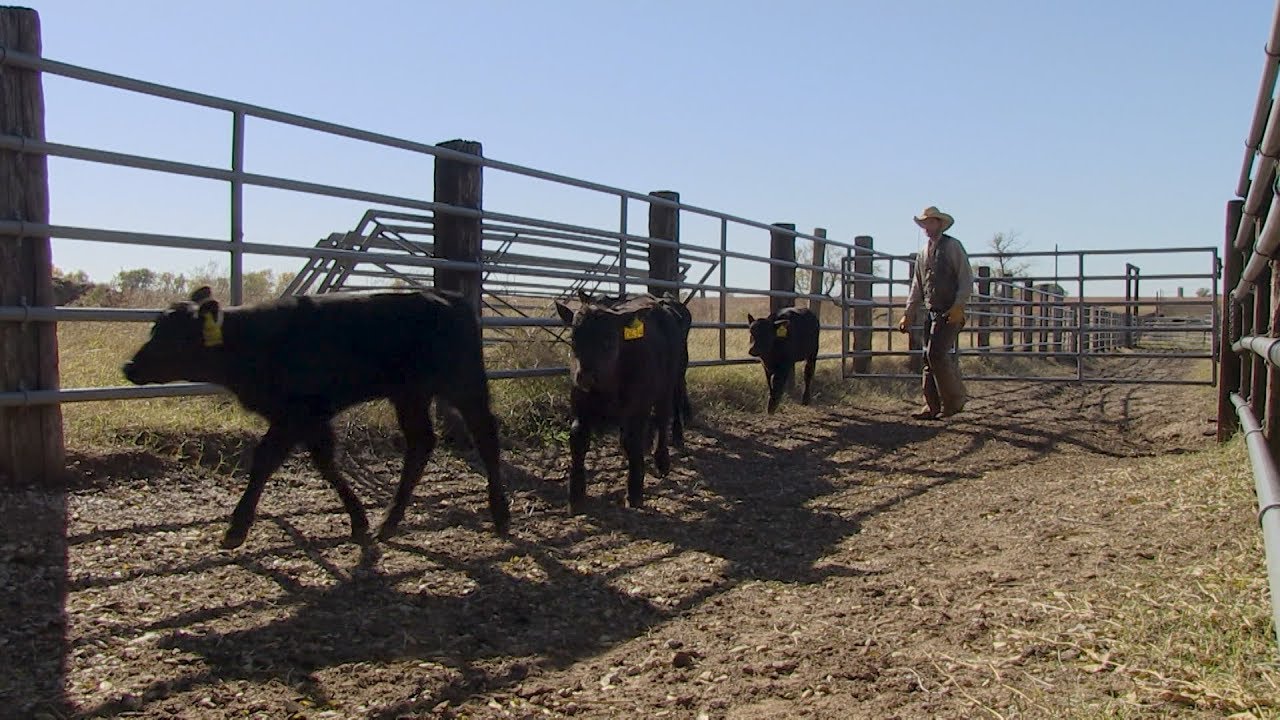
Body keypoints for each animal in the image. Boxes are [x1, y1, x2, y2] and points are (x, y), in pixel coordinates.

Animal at [122, 286, 510, 549]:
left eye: (175, 337)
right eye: (154, 329)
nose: (129, 366)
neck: (256, 340)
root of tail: (450, 298)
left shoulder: (295, 413)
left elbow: (265, 460)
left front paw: (236, 528)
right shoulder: (309, 418)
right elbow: (325, 462)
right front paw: (358, 519)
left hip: (463, 383)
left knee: (485, 435)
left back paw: (500, 514)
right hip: (409, 394)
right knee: (421, 443)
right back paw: (390, 520)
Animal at [554, 292, 686, 512]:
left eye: (609, 339)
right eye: (573, 338)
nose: (585, 376)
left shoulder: (637, 408)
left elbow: (632, 440)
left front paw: (634, 492)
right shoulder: (580, 408)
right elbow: (578, 440)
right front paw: (576, 495)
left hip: (668, 385)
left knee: (661, 418)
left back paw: (661, 460)